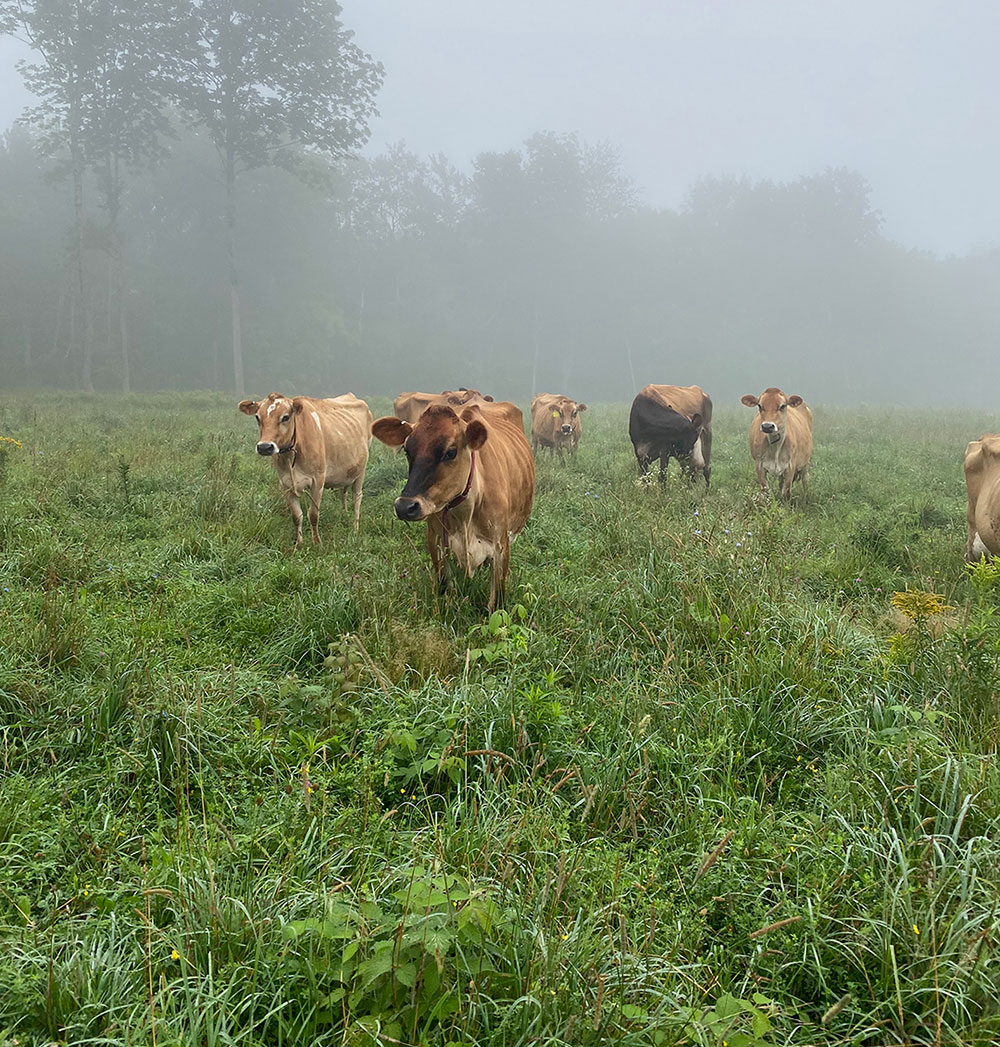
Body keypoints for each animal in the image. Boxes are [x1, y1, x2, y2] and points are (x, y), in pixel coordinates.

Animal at [237, 389, 370, 544]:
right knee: (343, 492)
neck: (291, 456)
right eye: (258, 417)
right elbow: (297, 516)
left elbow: (313, 514)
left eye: (285, 417)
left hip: (361, 471)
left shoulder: (318, 480)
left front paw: (316, 542)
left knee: (357, 498)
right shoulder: (285, 483)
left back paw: (355, 529)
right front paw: (299, 543)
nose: (265, 447)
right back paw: (344, 515)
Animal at [370, 402, 536, 611]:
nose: (405, 506)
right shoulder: (436, 541)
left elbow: (496, 602)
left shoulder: (501, 545)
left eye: (450, 452)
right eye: (407, 451)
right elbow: (444, 589)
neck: (465, 514)